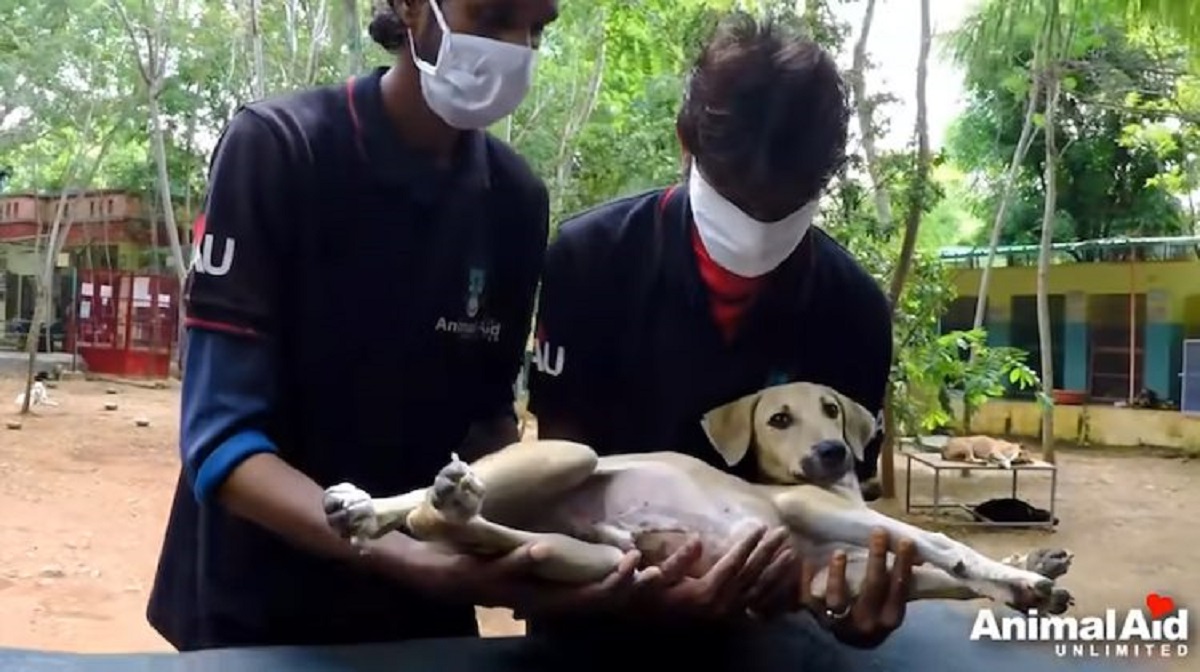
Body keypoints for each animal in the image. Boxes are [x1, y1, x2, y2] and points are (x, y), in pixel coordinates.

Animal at [324, 384, 1075, 614]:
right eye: (780, 418)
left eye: (833, 409)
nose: (830, 454)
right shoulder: (817, 511)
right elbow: (943, 546)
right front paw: (1017, 577)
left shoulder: (838, 576)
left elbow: (927, 575)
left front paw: (1030, 574)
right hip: (571, 452)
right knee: (430, 510)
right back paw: (404, 501)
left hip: (589, 560)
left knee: (477, 531)